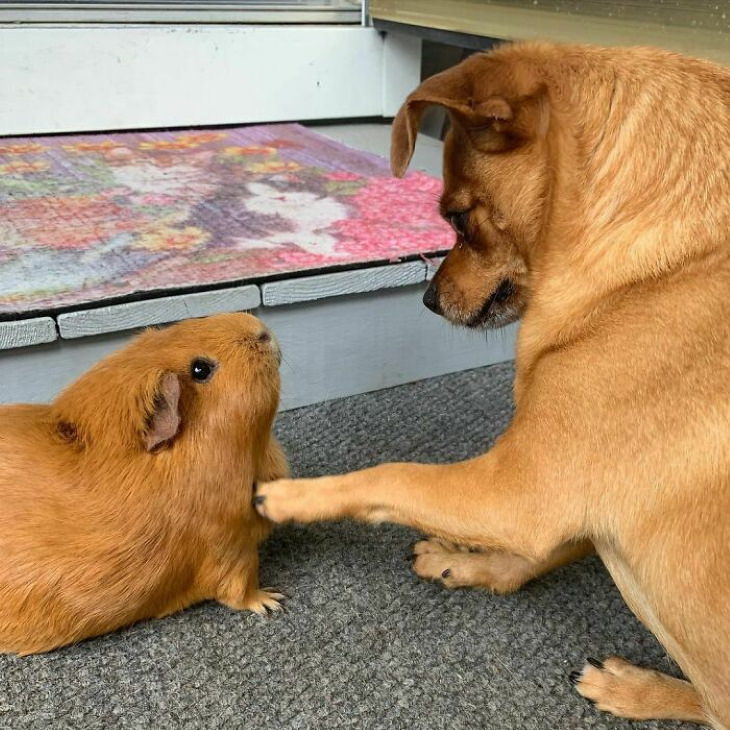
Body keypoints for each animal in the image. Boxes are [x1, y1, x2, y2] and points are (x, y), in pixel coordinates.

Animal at [253, 42, 724, 724]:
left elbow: (391, 476)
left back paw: (635, 688)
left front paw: (291, 496)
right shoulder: (555, 498)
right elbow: (533, 548)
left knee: (712, 704)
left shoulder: (520, 490)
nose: (426, 299)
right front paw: (464, 561)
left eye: (456, 217)